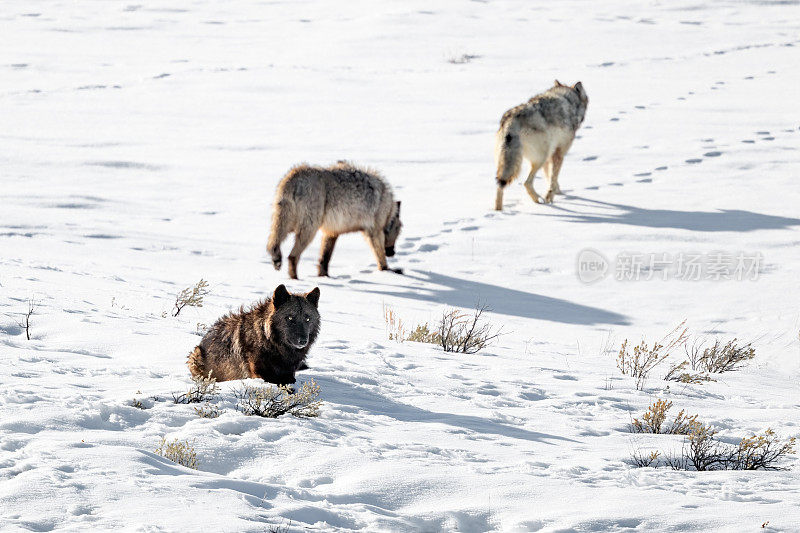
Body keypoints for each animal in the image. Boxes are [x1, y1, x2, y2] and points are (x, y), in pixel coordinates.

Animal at [188, 284, 322, 384]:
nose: (303, 341)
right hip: (195, 356)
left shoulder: (289, 374)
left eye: (308, 319)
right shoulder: (258, 374)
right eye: (290, 318)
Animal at [494, 80, 588, 209]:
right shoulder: (559, 153)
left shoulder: (550, 157)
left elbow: (550, 178)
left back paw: (499, 211)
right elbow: (553, 179)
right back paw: (538, 200)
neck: (569, 101)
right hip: (540, 158)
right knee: (526, 183)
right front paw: (550, 197)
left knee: (500, 186)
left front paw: (559, 192)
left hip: (510, 162)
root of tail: (511, 121)